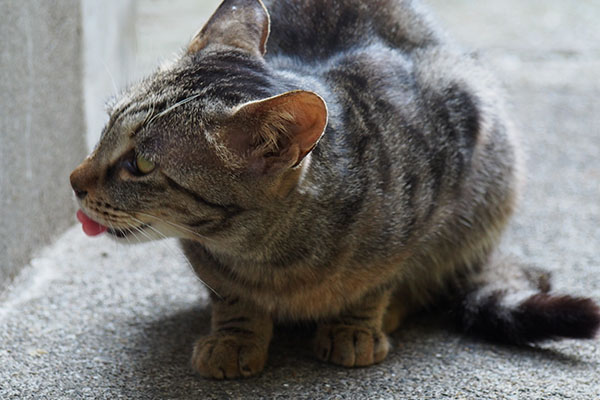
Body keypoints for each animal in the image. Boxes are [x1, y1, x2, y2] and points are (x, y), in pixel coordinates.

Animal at [71, 0, 600, 378]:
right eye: (106, 126)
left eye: (139, 164)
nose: (73, 181)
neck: (269, 257)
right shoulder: (207, 258)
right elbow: (229, 294)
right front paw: (235, 335)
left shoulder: (433, 183)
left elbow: (379, 278)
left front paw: (355, 324)